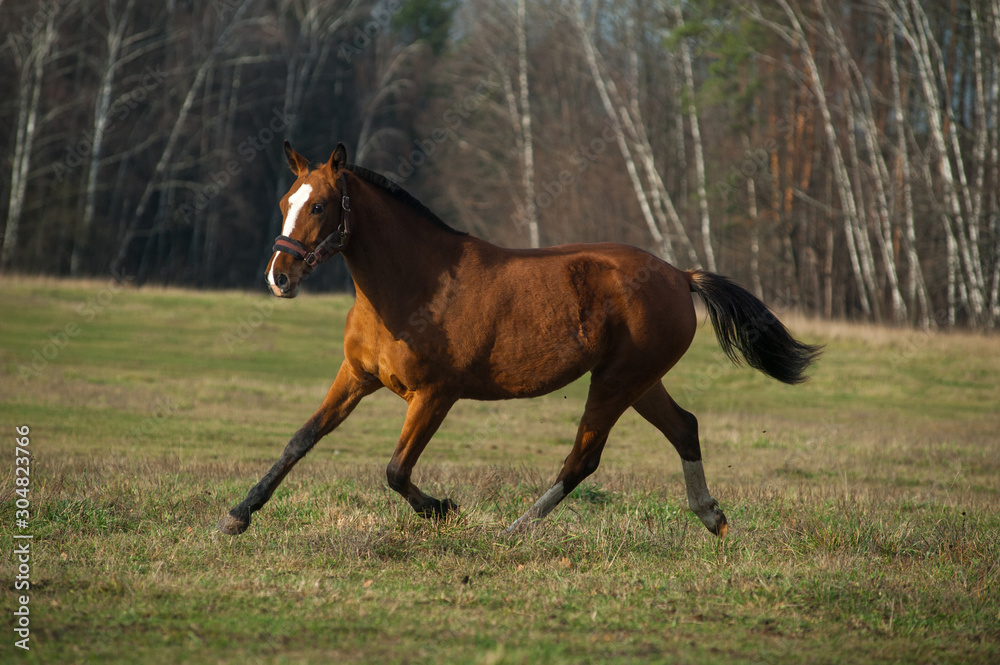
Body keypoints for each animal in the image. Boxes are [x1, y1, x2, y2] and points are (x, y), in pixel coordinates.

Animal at [218, 142, 821, 538]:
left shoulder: (434, 395)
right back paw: (712, 518)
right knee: (684, 428)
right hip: (640, 382)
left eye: (320, 205)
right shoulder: (357, 377)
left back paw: (513, 530)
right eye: (285, 203)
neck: (413, 285)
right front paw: (237, 515)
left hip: (616, 382)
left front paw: (444, 509)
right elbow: (300, 440)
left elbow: (395, 470)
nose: (279, 277)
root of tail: (679, 275)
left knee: (583, 458)